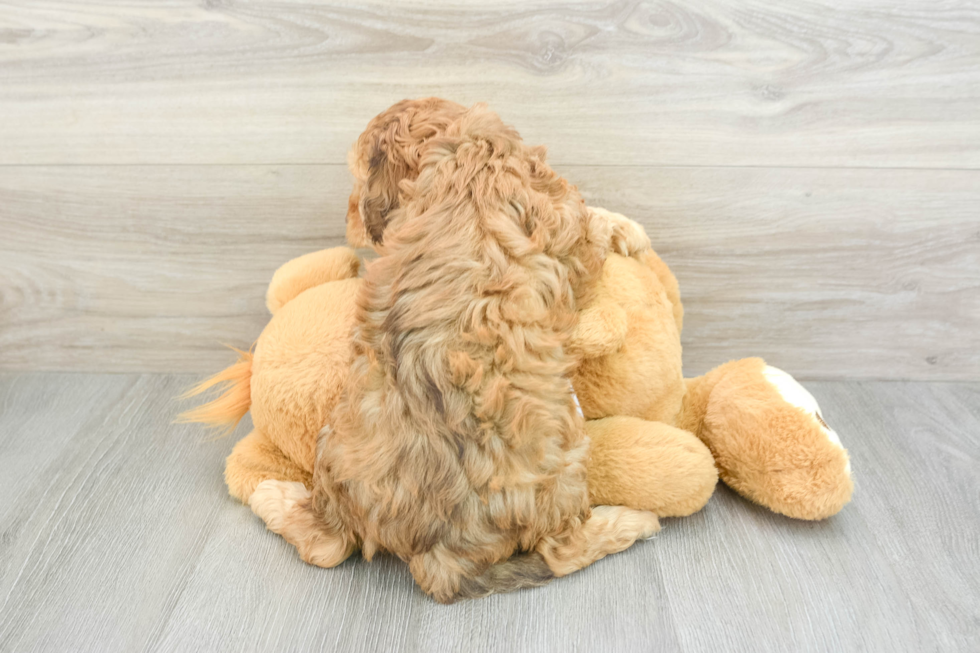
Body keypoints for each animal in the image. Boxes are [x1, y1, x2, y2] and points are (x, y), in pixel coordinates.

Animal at [251, 97, 660, 600]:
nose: (349, 222)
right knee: (560, 551)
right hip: (565, 459)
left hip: (336, 441)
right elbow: (593, 226)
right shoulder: (570, 237)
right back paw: (633, 521)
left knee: (326, 545)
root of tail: (439, 556)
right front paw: (629, 229)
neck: (461, 148)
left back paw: (272, 496)